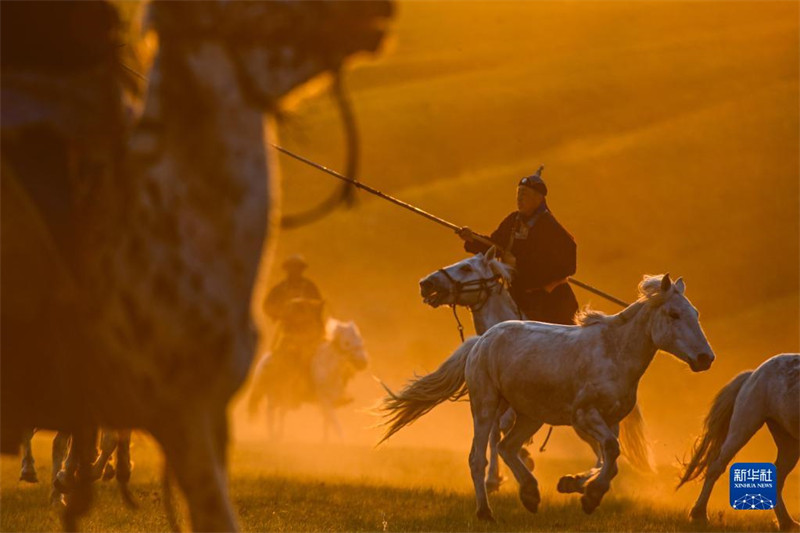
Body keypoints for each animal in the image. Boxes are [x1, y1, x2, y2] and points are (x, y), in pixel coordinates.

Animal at [382, 273, 713, 520]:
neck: (613, 352)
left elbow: (610, 457)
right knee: (478, 456)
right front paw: (591, 496)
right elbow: (609, 450)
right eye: (673, 314)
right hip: (486, 405)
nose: (705, 358)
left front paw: (576, 487)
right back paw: (486, 512)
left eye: (696, 314)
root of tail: (483, 339)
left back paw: (530, 494)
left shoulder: (612, 420)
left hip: (530, 415)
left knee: (506, 447)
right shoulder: (584, 416)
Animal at [679, 353, 799, 531]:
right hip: (744, 427)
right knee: (716, 466)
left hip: (789, 441)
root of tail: (753, 374)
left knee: (777, 478)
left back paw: (787, 523)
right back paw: (699, 514)